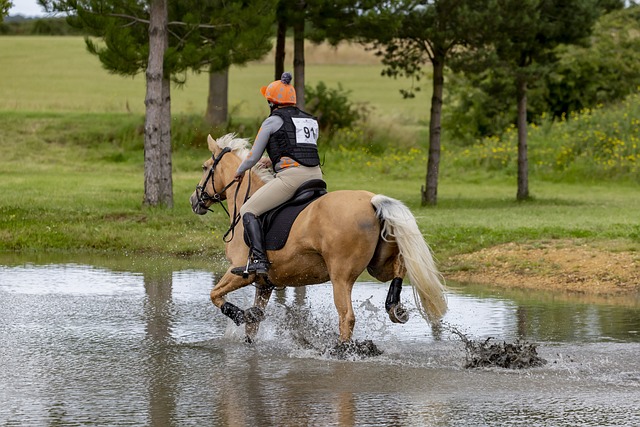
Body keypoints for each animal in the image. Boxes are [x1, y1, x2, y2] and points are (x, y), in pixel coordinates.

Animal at [190, 134, 448, 344]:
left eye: (204, 167)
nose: (194, 200)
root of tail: (372, 201)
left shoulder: (241, 272)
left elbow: (215, 295)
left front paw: (241, 314)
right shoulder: (265, 284)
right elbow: (252, 327)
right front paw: (250, 322)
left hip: (341, 276)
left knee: (346, 317)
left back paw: (342, 350)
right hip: (378, 265)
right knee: (399, 268)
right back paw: (394, 307)